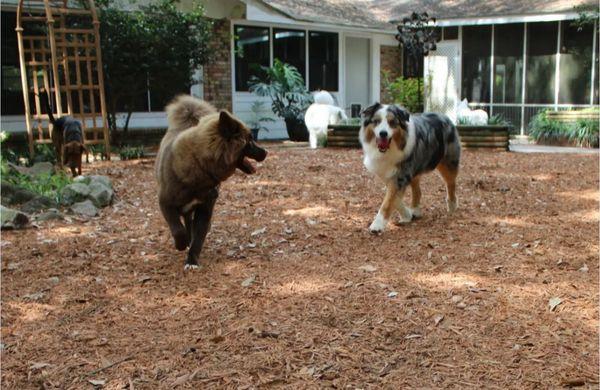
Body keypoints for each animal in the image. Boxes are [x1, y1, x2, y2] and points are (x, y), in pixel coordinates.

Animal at [155, 96, 268, 270]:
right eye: (249, 140)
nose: (266, 152)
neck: (199, 163)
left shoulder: (204, 210)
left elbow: (198, 238)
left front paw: (192, 260)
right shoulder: (165, 203)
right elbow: (177, 230)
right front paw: (181, 244)